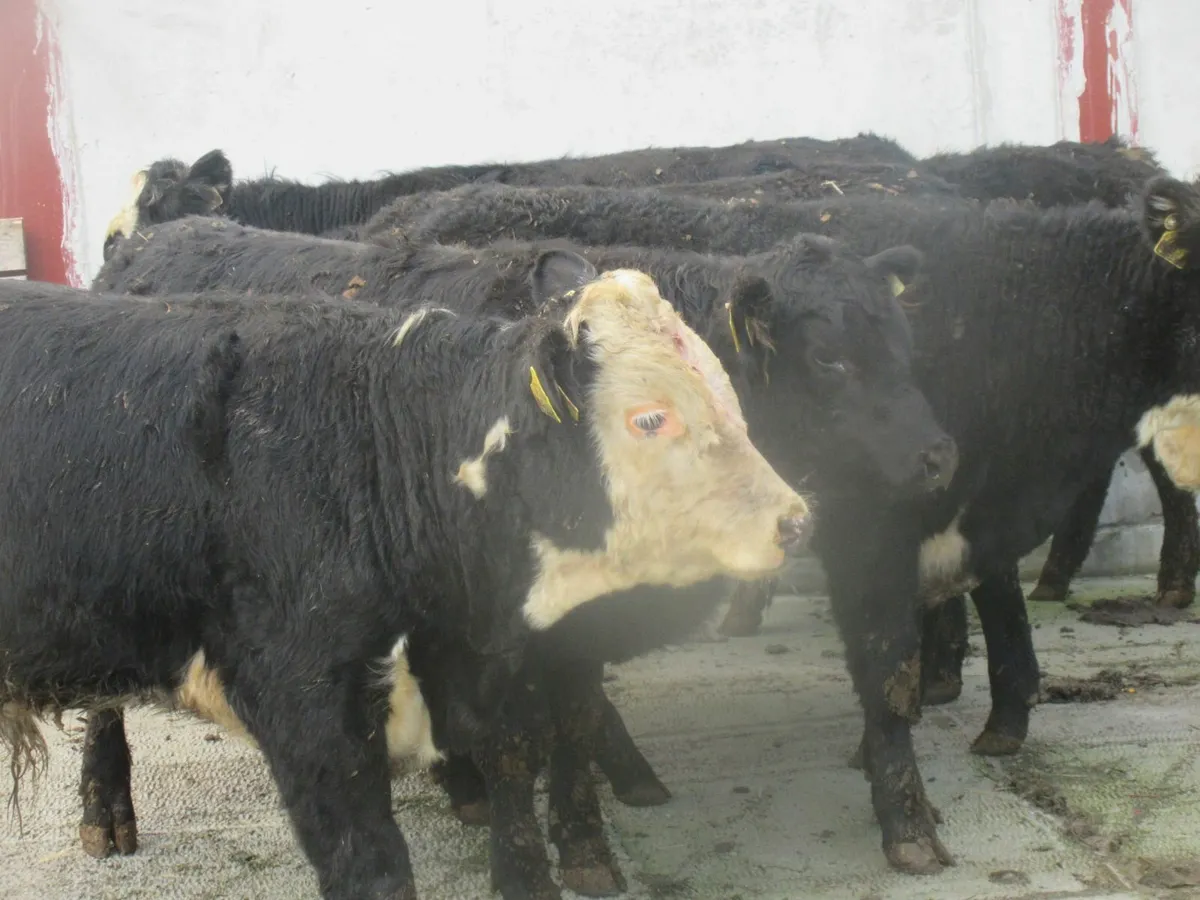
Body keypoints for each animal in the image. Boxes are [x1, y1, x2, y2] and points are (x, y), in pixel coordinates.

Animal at [0, 271, 811, 900]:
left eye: (731, 400)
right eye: (649, 418)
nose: (795, 519)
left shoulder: (505, 666)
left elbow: (519, 759)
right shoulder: (307, 701)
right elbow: (372, 862)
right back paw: (105, 817)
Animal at [93, 217, 954, 890]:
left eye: (906, 344)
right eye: (830, 359)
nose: (938, 457)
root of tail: (151, 238)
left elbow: (572, 720)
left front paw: (583, 845)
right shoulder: (501, 627)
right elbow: (518, 742)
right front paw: (532, 861)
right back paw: (106, 816)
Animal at [333, 175, 1200, 874]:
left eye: (906, 344)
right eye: (831, 361)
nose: (934, 453)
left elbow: (968, 610)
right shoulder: (881, 525)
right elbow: (896, 657)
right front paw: (919, 802)